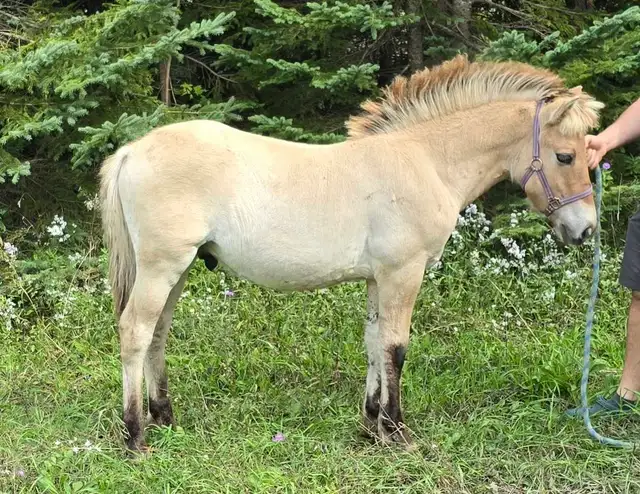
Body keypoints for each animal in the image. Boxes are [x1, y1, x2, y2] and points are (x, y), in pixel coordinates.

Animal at [99, 54, 604, 453]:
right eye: (565, 156)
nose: (584, 230)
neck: (426, 161)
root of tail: (132, 151)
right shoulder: (404, 272)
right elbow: (396, 347)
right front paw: (397, 431)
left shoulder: (378, 278)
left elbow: (374, 343)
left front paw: (371, 423)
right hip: (163, 267)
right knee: (135, 331)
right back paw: (135, 436)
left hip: (177, 269)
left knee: (158, 333)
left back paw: (165, 417)